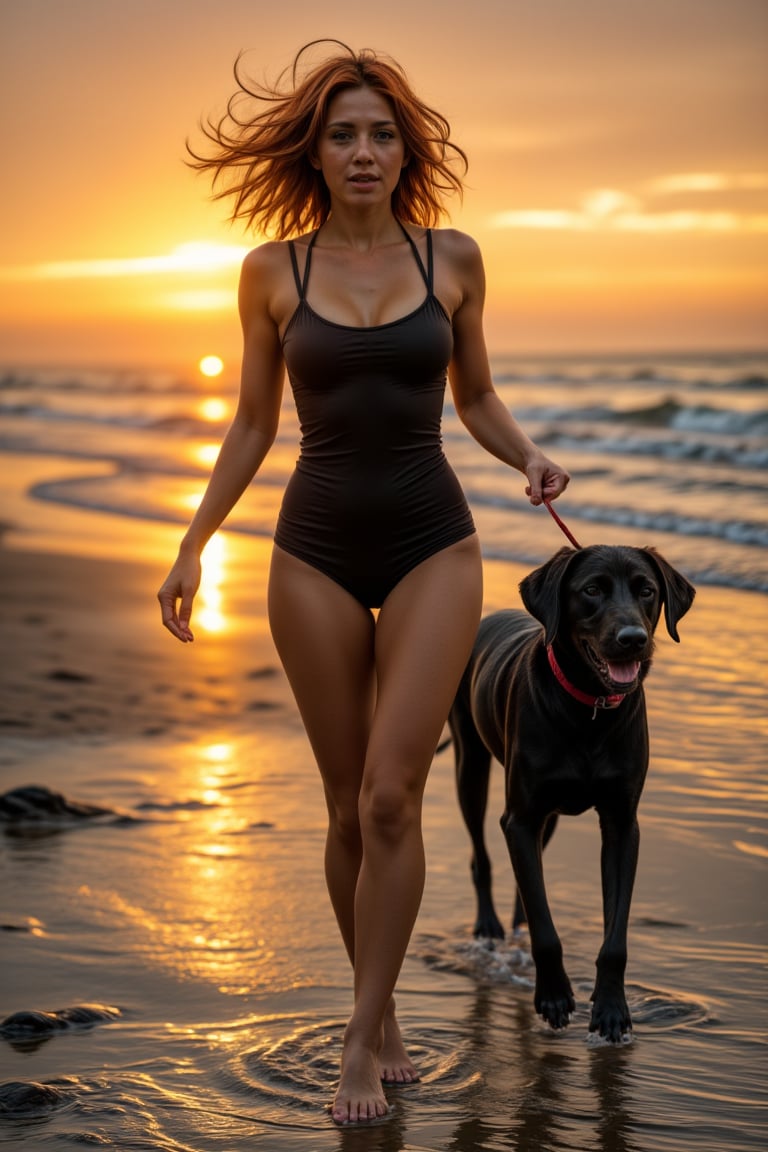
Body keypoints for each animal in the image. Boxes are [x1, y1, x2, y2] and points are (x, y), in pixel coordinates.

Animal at [451, 543, 695, 1041]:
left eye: (647, 590)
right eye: (592, 590)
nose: (632, 638)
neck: (590, 709)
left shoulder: (621, 824)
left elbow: (614, 936)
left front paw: (612, 1009)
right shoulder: (520, 816)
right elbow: (546, 931)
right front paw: (553, 996)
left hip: (552, 815)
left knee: (529, 877)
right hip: (470, 764)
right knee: (482, 852)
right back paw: (488, 926)